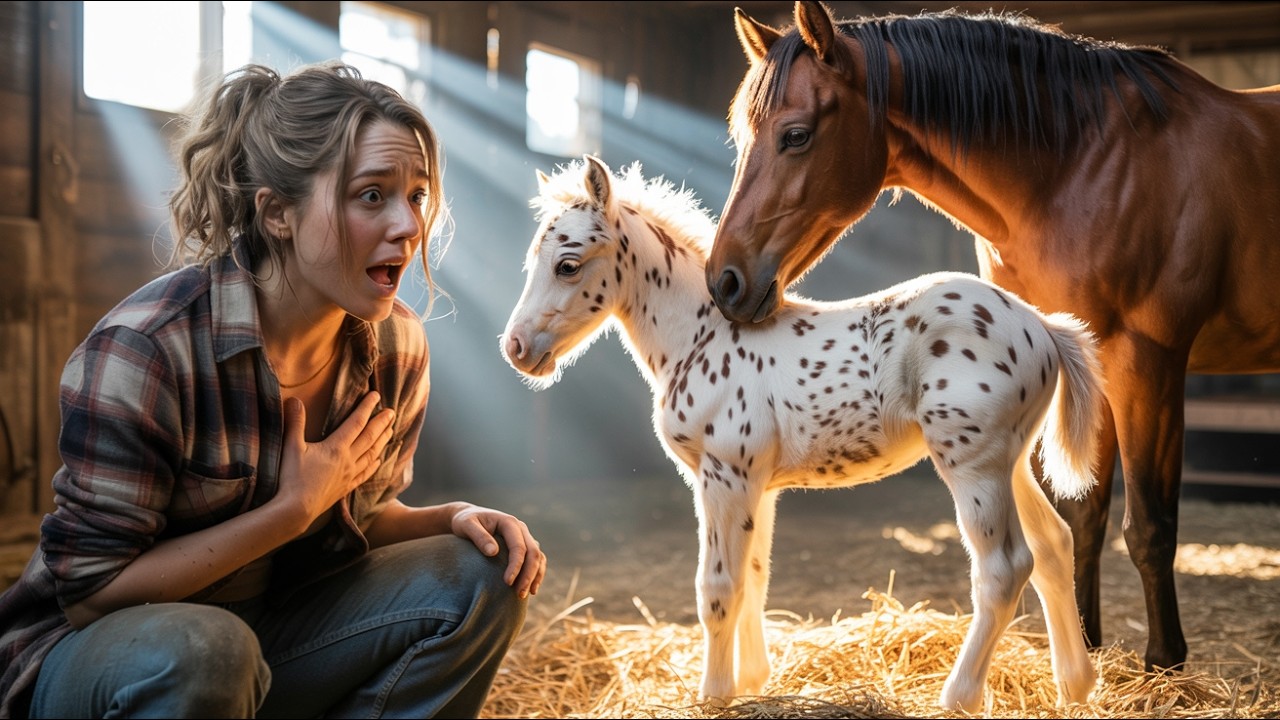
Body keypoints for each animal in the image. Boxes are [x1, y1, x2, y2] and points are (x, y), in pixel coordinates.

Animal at [501, 155, 1107, 711]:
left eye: (568, 265)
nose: (516, 349)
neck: (699, 336)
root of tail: (1042, 326)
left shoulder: (723, 477)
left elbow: (718, 587)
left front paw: (714, 695)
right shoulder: (756, 485)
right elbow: (754, 576)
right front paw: (753, 682)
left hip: (972, 465)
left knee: (1003, 569)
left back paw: (958, 697)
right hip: (1010, 461)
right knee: (1053, 545)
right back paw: (1075, 687)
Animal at [704, 0, 1280, 676]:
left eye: (795, 135)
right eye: (742, 137)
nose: (725, 281)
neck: (1084, 170)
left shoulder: (1148, 363)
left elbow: (1150, 524)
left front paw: (1163, 665)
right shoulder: (1087, 367)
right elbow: (1084, 512)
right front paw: (1083, 646)